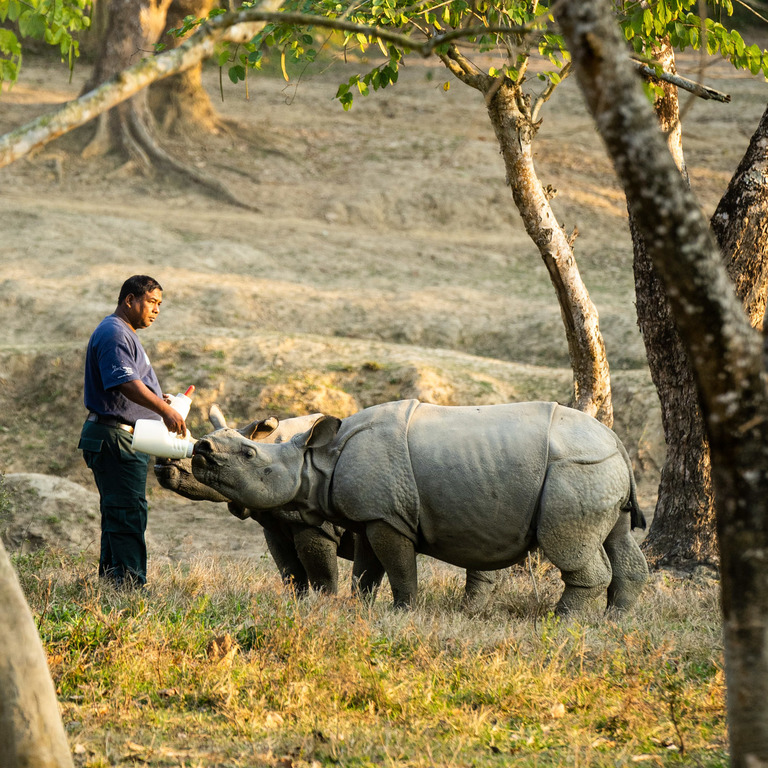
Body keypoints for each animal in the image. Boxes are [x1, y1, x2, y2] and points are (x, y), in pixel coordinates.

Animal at [192, 400, 648, 616]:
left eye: (250, 454)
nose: (201, 449)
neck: (319, 459)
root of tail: (616, 441)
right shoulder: (373, 512)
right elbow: (367, 570)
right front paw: (360, 608)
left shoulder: (387, 517)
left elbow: (398, 566)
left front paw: (402, 612)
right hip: (598, 467)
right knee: (619, 537)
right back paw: (615, 620)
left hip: (576, 470)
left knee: (568, 547)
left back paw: (562, 622)